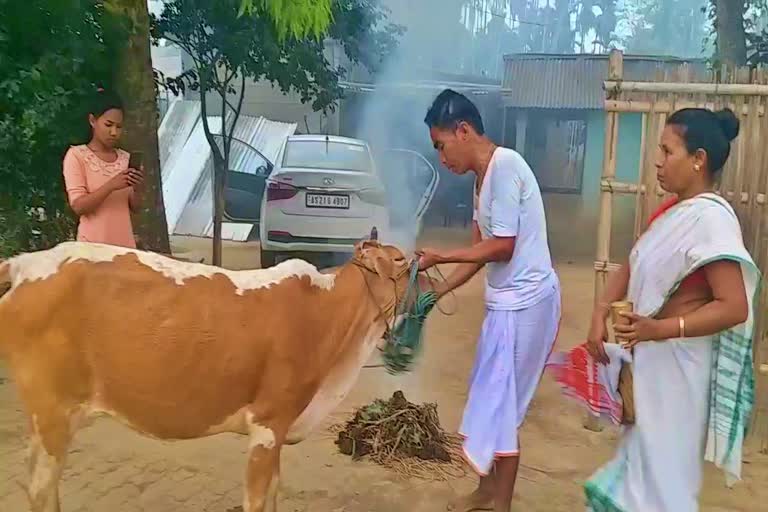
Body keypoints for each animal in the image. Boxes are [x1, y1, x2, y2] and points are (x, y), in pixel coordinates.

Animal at [0, 238, 414, 512]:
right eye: (402, 259)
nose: (421, 257)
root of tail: (27, 263)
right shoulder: (267, 424)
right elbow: (257, 500)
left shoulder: (280, 429)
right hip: (53, 413)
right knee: (41, 489)